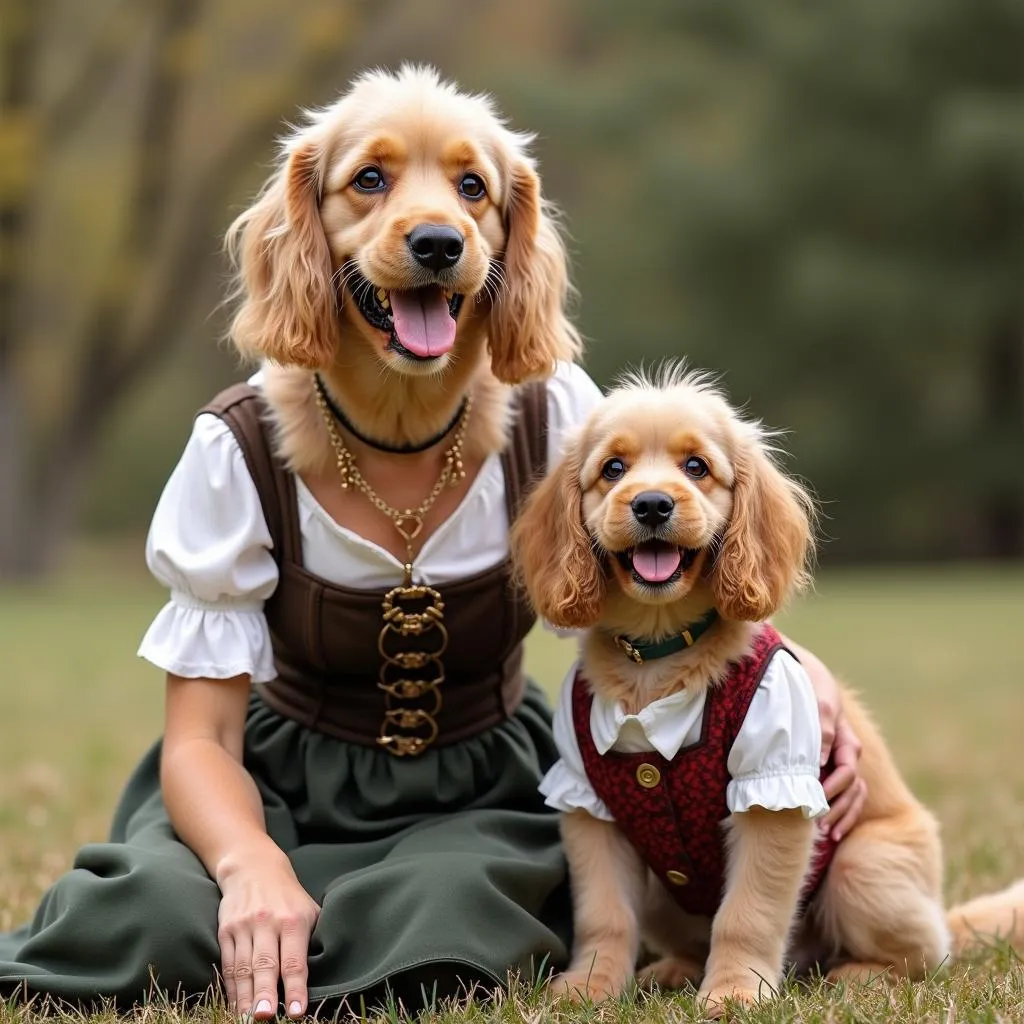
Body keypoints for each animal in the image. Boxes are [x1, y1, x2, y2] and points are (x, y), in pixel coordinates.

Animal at [516, 364, 1024, 1011]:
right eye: (612, 469)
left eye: (696, 467)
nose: (652, 504)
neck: (659, 652)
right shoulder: (588, 805)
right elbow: (604, 915)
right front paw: (589, 987)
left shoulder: (772, 795)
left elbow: (747, 914)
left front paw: (735, 993)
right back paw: (673, 971)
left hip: (866, 867)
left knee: (924, 959)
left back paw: (857, 975)